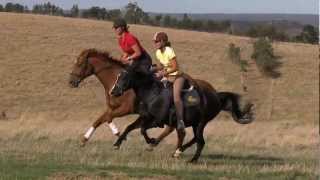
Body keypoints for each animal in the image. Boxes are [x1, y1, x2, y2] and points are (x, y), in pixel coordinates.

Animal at [110, 69, 255, 162]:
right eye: (117, 77)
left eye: (123, 78)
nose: (113, 92)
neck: (152, 93)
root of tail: (217, 96)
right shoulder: (145, 117)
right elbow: (130, 127)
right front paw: (117, 144)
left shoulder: (156, 121)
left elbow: (142, 129)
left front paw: (151, 140)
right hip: (196, 124)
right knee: (194, 138)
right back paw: (178, 151)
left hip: (201, 123)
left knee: (199, 141)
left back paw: (190, 159)